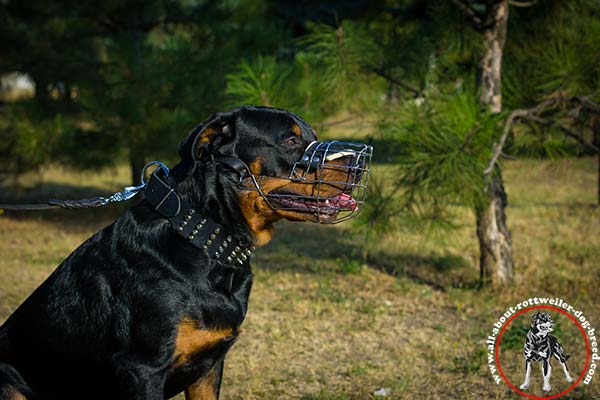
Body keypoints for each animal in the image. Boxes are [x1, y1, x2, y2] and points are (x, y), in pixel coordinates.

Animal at [0, 107, 370, 400]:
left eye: (313, 137)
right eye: (291, 142)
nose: (357, 162)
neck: (204, 238)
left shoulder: (209, 366)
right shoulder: (143, 370)